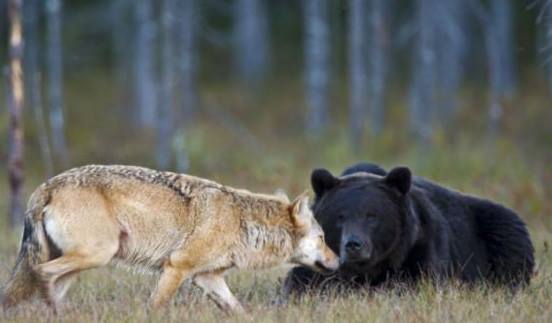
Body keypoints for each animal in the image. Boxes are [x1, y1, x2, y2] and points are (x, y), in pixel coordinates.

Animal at [2, 166, 338, 312]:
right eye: (322, 237)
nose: (339, 259)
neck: (243, 222)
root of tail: (45, 186)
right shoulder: (176, 267)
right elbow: (156, 306)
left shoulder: (208, 278)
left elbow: (238, 311)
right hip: (96, 255)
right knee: (42, 274)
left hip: (80, 265)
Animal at [284, 163, 536, 298]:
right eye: (340, 216)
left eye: (372, 216)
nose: (354, 245)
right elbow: (303, 282)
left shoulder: (418, 251)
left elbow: (415, 284)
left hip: (496, 231)